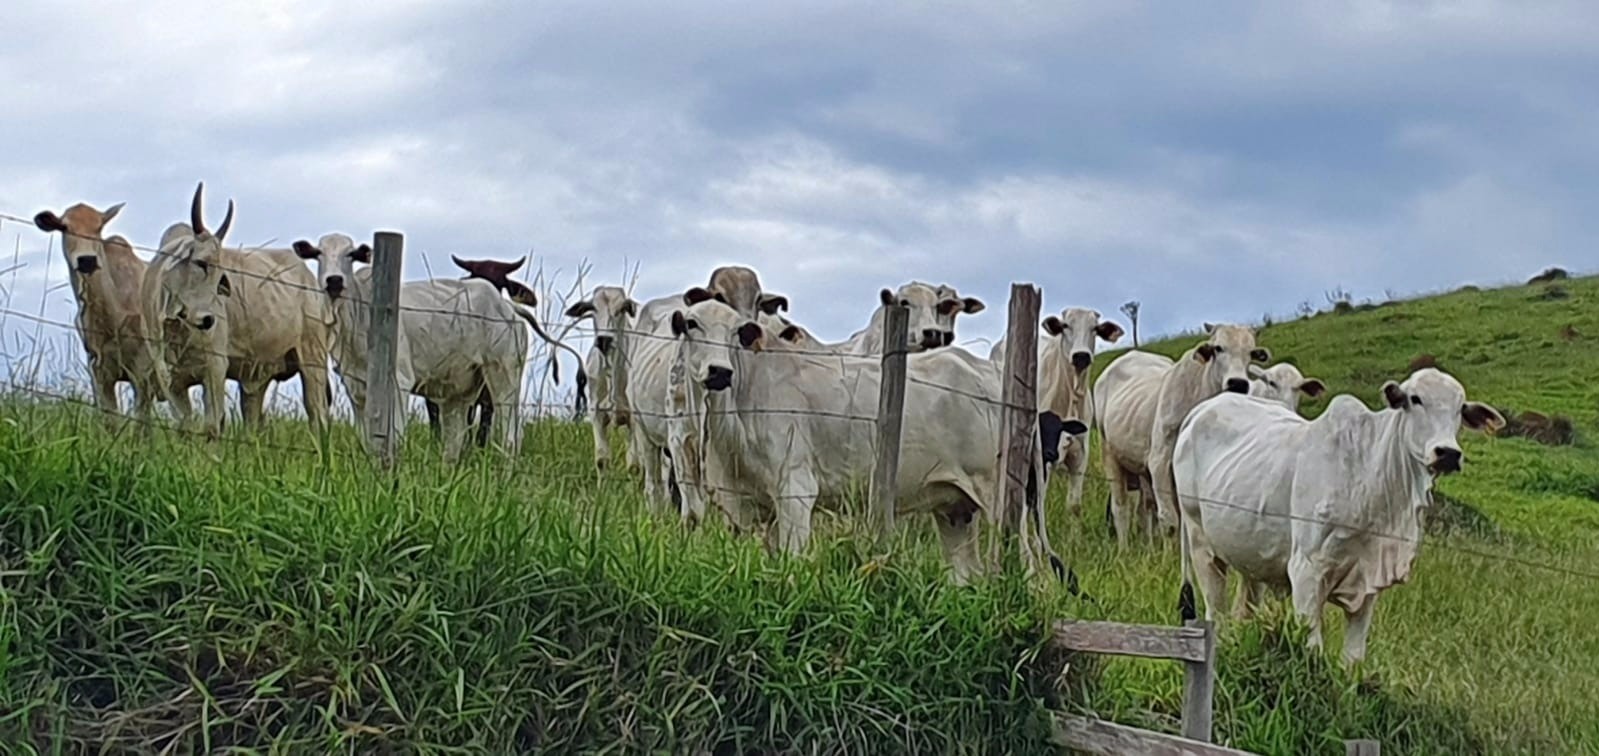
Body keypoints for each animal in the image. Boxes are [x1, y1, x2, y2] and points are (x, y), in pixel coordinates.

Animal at [668, 297, 1068, 581]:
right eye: (692, 324)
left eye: (737, 332)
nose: (719, 371)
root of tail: (991, 370)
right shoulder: (746, 507)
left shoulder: (795, 491)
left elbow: (792, 563)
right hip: (955, 508)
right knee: (967, 575)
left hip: (1000, 499)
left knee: (1028, 565)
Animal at [984, 306, 1125, 517]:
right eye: (1065, 325)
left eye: (1095, 328)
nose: (1081, 356)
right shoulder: (1042, 456)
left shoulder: (1080, 456)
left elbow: (1074, 505)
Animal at [1170, 367, 1503, 661]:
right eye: (1415, 398)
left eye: (1460, 409)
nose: (1448, 453)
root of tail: (1199, 412)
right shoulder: (1306, 572)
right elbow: (1313, 650)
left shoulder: (1368, 584)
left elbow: (1353, 658)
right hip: (1200, 541)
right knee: (1217, 611)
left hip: (1250, 554)